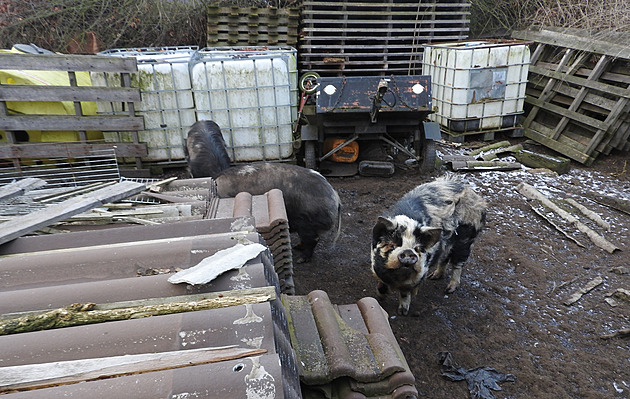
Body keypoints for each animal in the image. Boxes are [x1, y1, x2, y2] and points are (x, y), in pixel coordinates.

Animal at [370, 176, 488, 316]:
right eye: (391, 244)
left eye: (418, 248)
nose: (408, 252)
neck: (397, 278)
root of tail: (476, 197)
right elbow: (381, 283)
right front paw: (379, 298)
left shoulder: (419, 274)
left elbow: (405, 292)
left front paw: (402, 312)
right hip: (448, 244)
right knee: (444, 258)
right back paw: (434, 276)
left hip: (465, 240)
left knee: (458, 264)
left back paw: (449, 290)